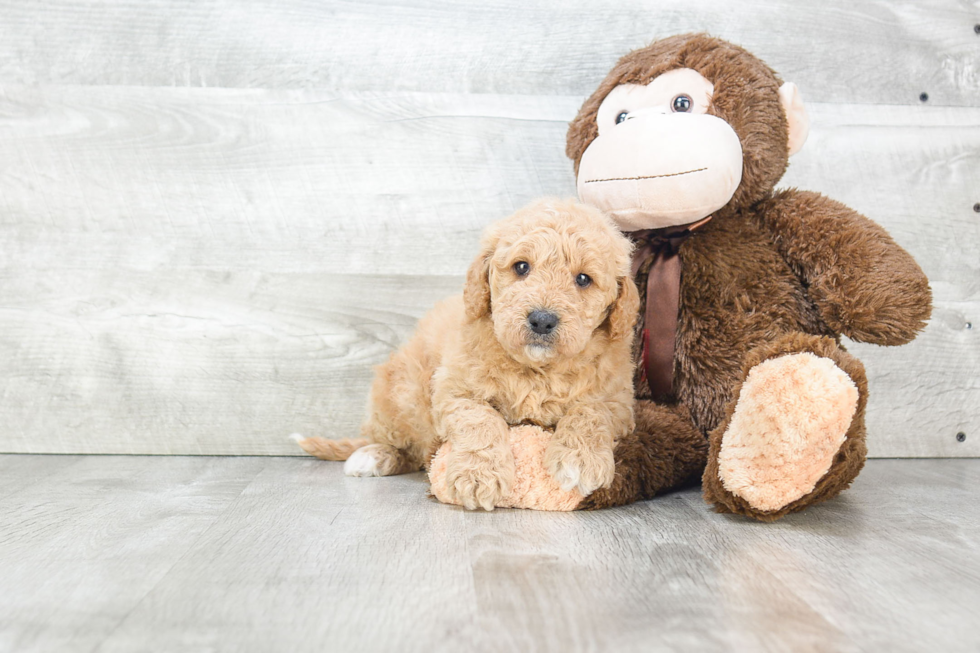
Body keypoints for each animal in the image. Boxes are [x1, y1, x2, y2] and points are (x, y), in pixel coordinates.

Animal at [294, 199, 640, 510]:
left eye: (583, 279)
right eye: (521, 267)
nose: (542, 319)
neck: (537, 369)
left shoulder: (619, 399)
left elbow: (591, 412)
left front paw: (579, 459)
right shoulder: (454, 389)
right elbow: (480, 419)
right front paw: (479, 477)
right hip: (397, 396)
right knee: (398, 442)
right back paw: (373, 455)